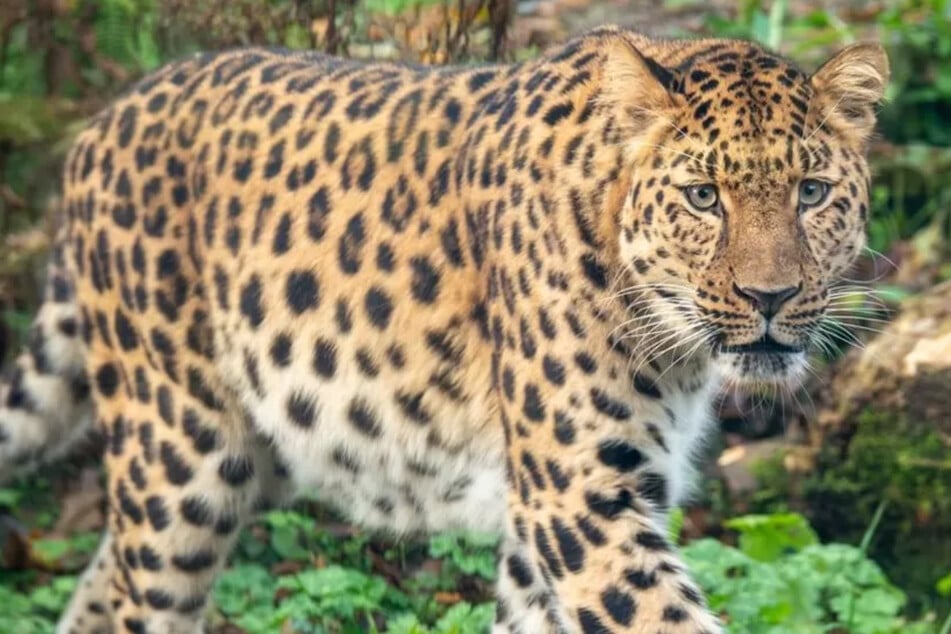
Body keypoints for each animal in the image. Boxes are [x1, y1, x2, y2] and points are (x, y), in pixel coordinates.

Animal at [0, 24, 892, 632]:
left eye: (811, 193)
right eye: (704, 197)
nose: (770, 295)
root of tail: (103, 121)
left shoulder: (565, 511)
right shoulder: (581, 496)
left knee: (103, 579)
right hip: (181, 451)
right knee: (140, 591)